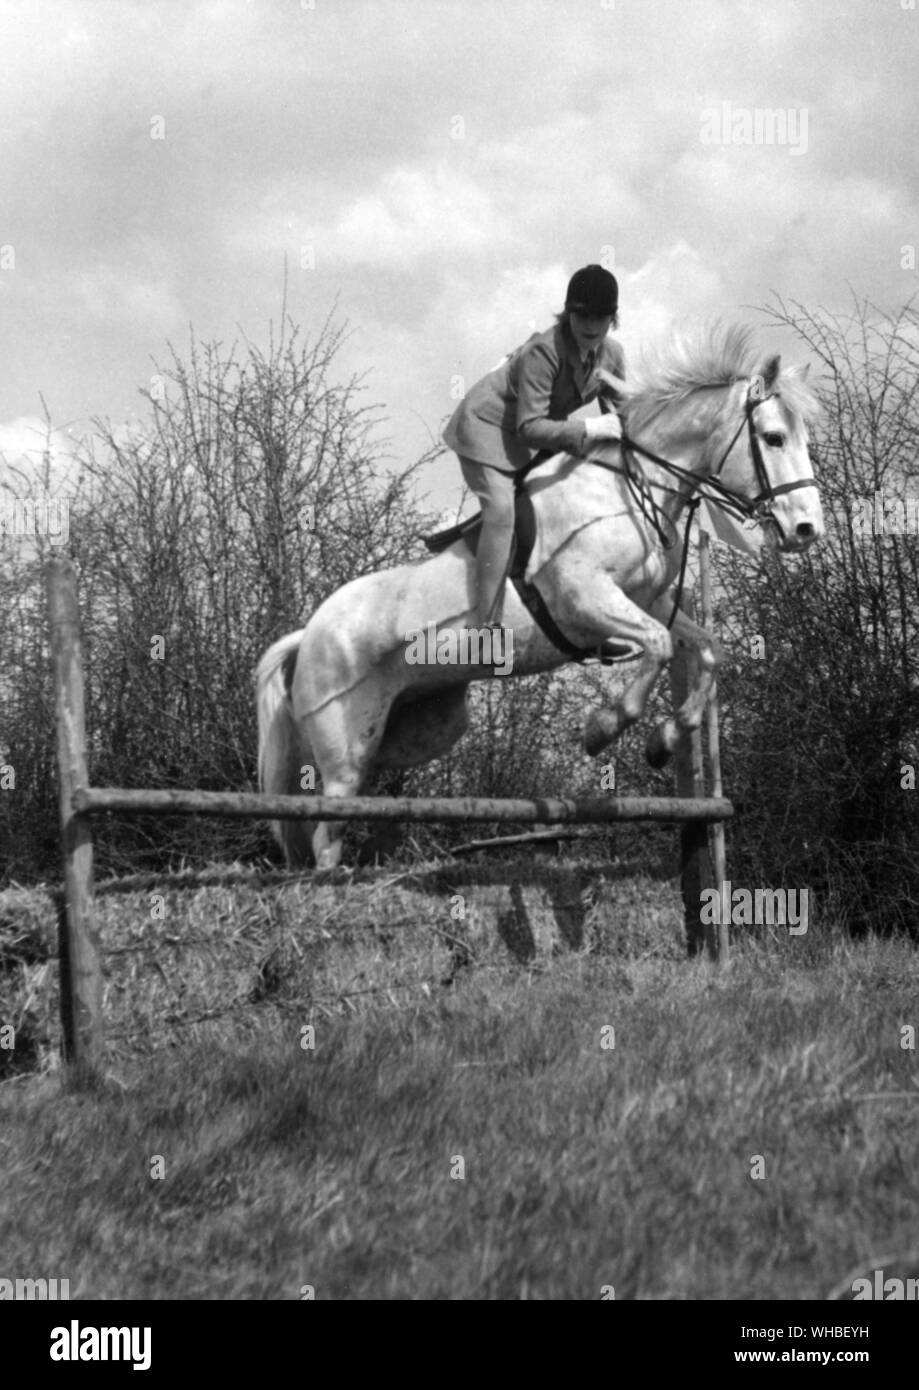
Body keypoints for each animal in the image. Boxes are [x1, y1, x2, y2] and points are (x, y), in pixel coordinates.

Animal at [256, 323, 823, 868]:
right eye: (773, 438)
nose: (806, 530)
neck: (626, 489)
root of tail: (309, 634)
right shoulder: (584, 599)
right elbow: (660, 647)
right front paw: (602, 729)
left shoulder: (649, 602)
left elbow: (706, 648)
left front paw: (666, 739)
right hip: (343, 743)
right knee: (326, 829)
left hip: (412, 730)